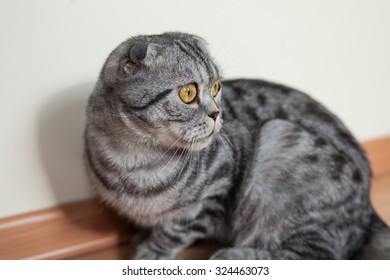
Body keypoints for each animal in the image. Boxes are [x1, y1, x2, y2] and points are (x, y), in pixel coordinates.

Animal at [84, 31, 390, 260]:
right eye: (188, 92)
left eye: (217, 87)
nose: (217, 113)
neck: (136, 160)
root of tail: (368, 210)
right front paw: (143, 237)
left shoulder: (214, 194)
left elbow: (174, 232)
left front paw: (151, 251)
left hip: (279, 140)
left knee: (317, 254)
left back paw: (233, 255)